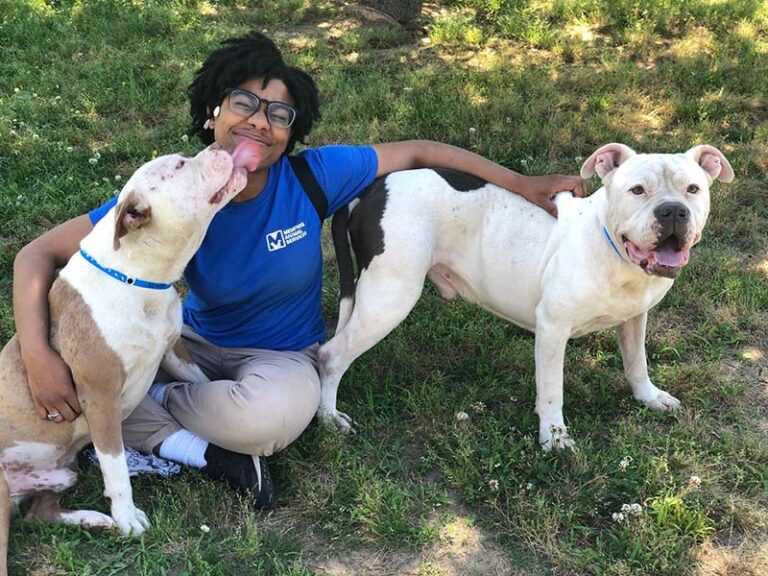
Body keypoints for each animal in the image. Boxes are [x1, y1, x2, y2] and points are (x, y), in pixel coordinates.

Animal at [0, 141, 260, 576]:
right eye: (179, 165)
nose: (219, 145)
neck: (137, 279)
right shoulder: (100, 397)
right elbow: (117, 465)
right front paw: (127, 517)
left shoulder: (175, 350)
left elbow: (205, 382)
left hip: (63, 474)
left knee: (40, 513)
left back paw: (92, 519)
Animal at [316, 143, 732, 450]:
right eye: (637, 190)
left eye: (693, 189)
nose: (673, 211)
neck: (612, 250)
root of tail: (369, 190)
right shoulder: (551, 329)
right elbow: (551, 391)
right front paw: (554, 438)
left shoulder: (634, 317)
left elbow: (637, 362)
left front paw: (648, 396)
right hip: (391, 296)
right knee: (330, 355)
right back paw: (327, 418)